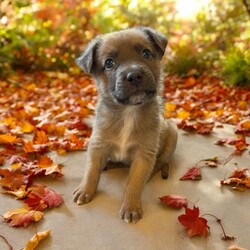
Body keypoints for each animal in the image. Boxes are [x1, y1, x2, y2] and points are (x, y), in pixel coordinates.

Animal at [73, 26, 178, 224]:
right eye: (109, 63)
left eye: (146, 53)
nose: (134, 75)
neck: (128, 112)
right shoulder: (97, 145)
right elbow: (91, 170)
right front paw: (85, 190)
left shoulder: (144, 154)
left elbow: (134, 183)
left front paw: (131, 207)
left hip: (172, 132)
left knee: (163, 161)